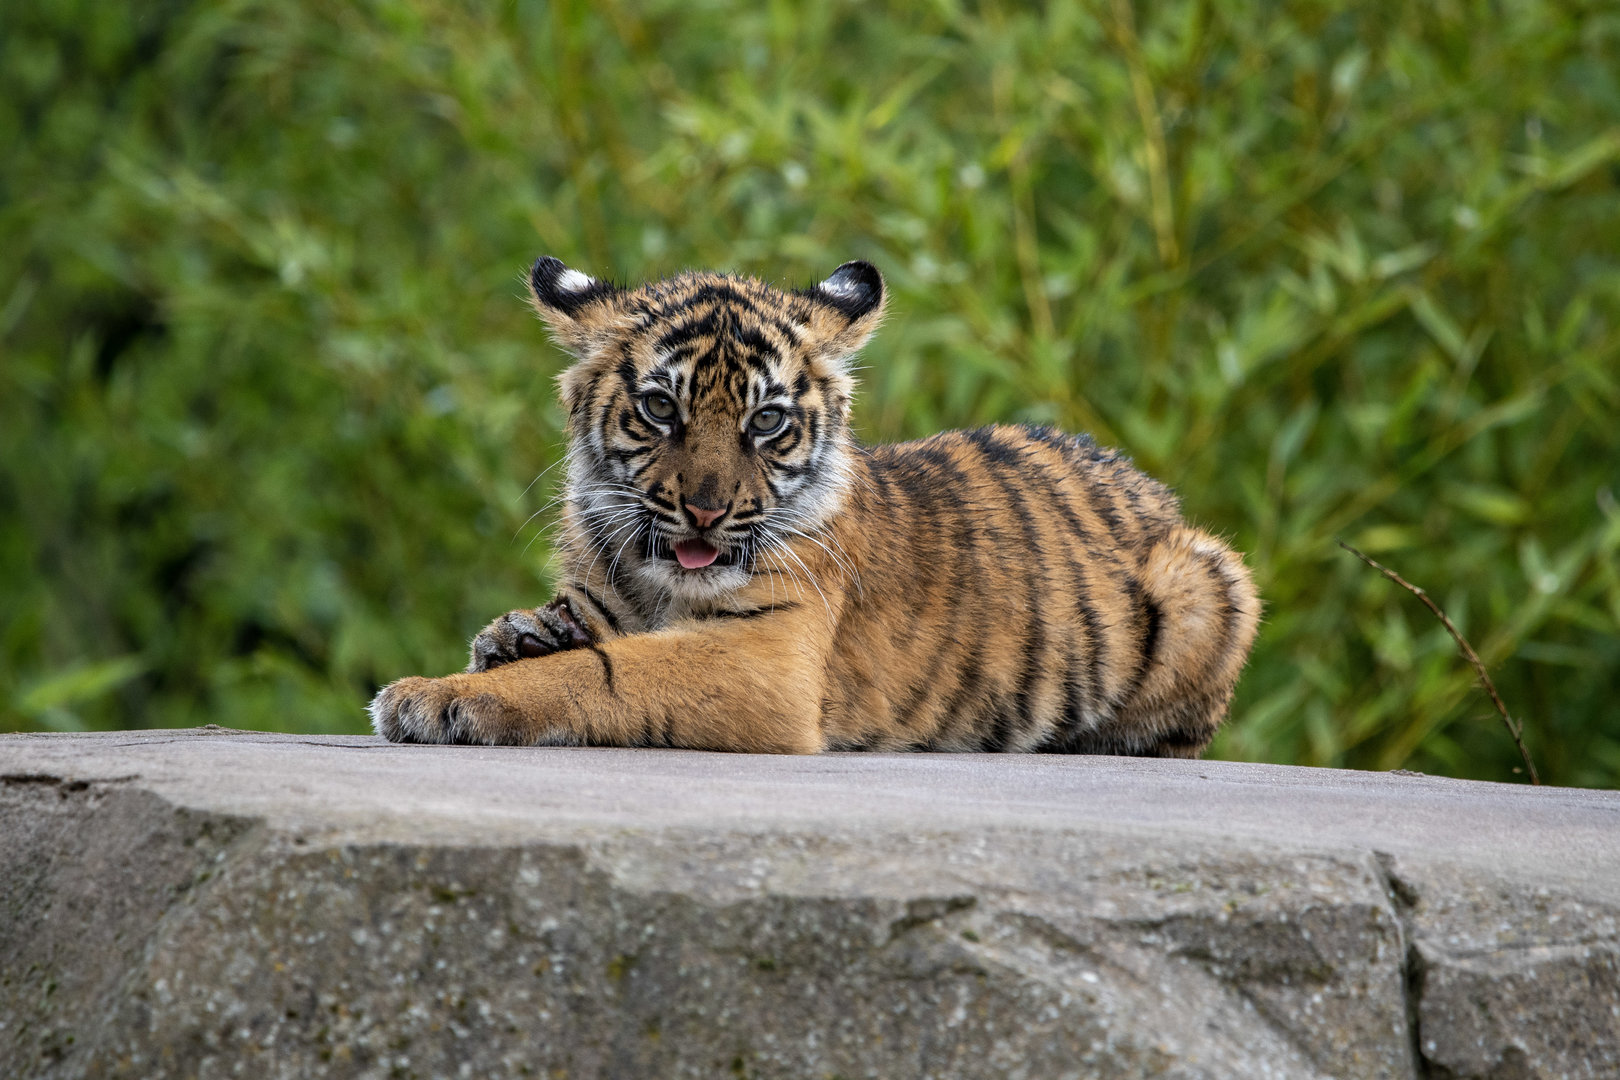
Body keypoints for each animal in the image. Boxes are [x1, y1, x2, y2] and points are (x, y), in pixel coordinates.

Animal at [368, 257, 1261, 756]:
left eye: (766, 420)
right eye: (660, 409)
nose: (705, 512)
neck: (656, 580)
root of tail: (1147, 485)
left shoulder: (764, 659)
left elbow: (601, 671)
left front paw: (433, 698)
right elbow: (572, 632)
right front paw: (512, 638)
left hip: (1207, 576)